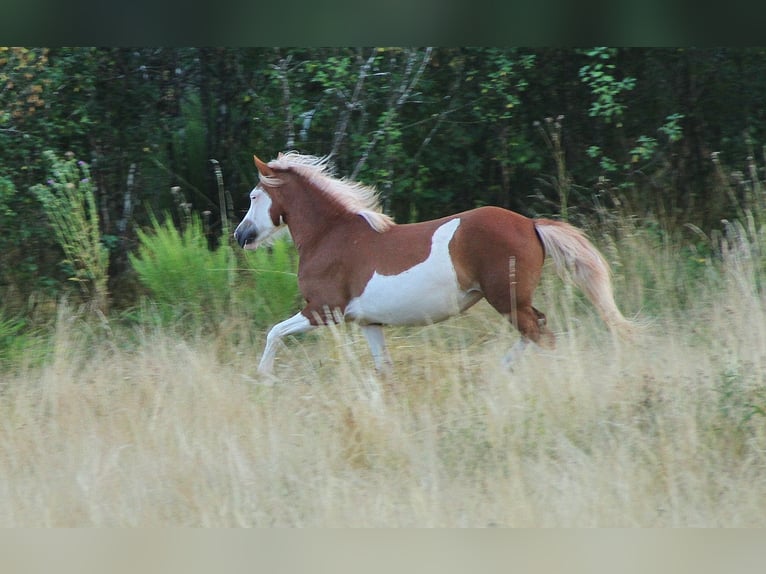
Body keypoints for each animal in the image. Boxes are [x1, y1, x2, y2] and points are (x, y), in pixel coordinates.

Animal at [234, 152, 633, 375]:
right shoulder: (368, 323)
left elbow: (274, 332)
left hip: (507, 299)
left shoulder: (322, 310)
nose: (240, 235)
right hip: (514, 300)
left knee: (540, 334)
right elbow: (384, 370)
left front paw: (264, 376)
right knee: (538, 329)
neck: (330, 234)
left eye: (254, 195)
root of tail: (530, 224)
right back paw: (504, 370)